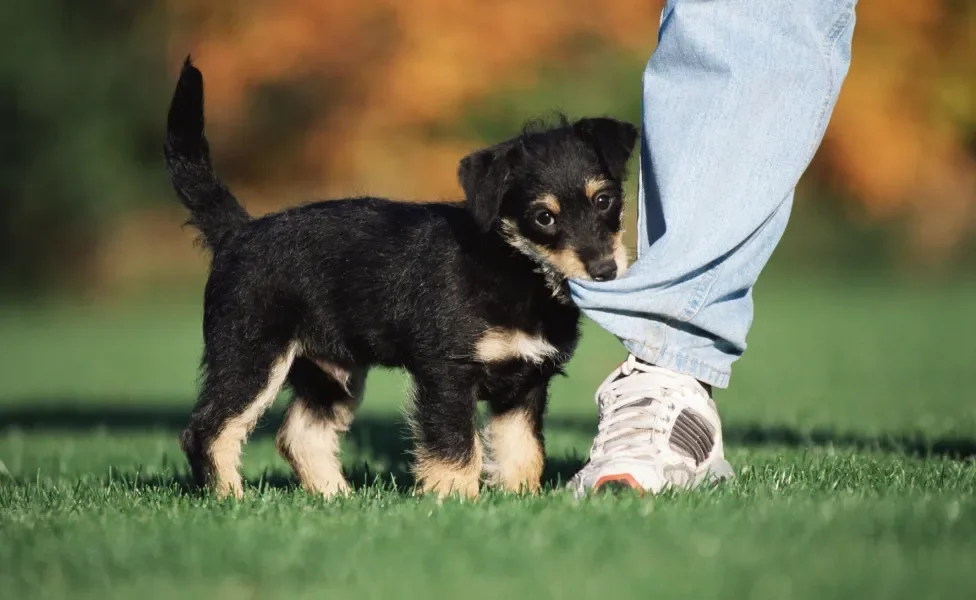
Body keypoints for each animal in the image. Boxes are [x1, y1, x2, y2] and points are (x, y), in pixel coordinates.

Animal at [166, 58, 640, 500]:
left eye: (604, 200)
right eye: (543, 217)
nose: (605, 270)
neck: (513, 266)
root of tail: (236, 233)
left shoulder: (526, 382)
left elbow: (521, 450)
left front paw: (518, 498)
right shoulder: (447, 374)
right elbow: (456, 447)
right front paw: (455, 500)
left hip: (330, 371)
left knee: (301, 435)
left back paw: (336, 498)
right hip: (250, 356)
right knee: (207, 431)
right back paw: (231, 498)